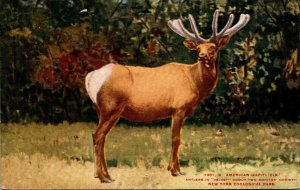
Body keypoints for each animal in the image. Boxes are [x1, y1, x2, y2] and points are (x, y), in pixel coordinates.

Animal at [84, 10, 251, 183]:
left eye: (213, 47)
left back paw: (102, 174)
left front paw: (171, 168)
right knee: (98, 135)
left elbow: (176, 138)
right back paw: (103, 177)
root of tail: (90, 78)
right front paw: (176, 171)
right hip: (111, 107)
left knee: (101, 137)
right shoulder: (179, 107)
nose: (202, 56)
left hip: (101, 109)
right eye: (198, 48)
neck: (195, 83)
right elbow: (176, 139)